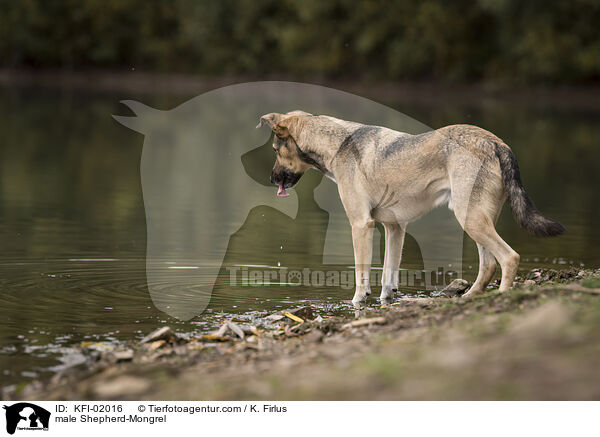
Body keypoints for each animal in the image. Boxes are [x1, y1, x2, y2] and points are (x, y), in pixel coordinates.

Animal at [255, 110, 564, 304]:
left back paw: (502, 298)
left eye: (275, 150)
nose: (270, 179)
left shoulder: (361, 225)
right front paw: (385, 300)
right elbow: (387, 277)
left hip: (471, 219)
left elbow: (361, 276)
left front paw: (358, 300)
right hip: (478, 218)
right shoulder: (395, 228)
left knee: (509, 257)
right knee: (488, 265)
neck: (337, 144)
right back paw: (467, 298)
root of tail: (498, 143)